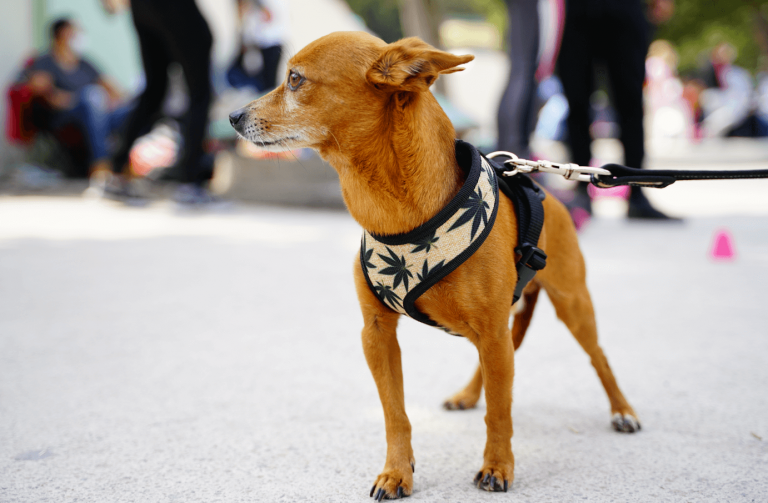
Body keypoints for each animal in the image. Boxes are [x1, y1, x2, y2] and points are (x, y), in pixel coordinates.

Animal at [231, 31, 640, 500]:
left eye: (295, 79)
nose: (233, 116)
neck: (397, 213)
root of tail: (553, 197)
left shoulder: (492, 332)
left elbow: (500, 412)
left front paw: (497, 466)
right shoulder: (377, 334)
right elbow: (396, 414)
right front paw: (396, 472)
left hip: (571, 306)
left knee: (598, 357)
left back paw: (623, 410)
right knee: (493, 367)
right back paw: (467, 395)